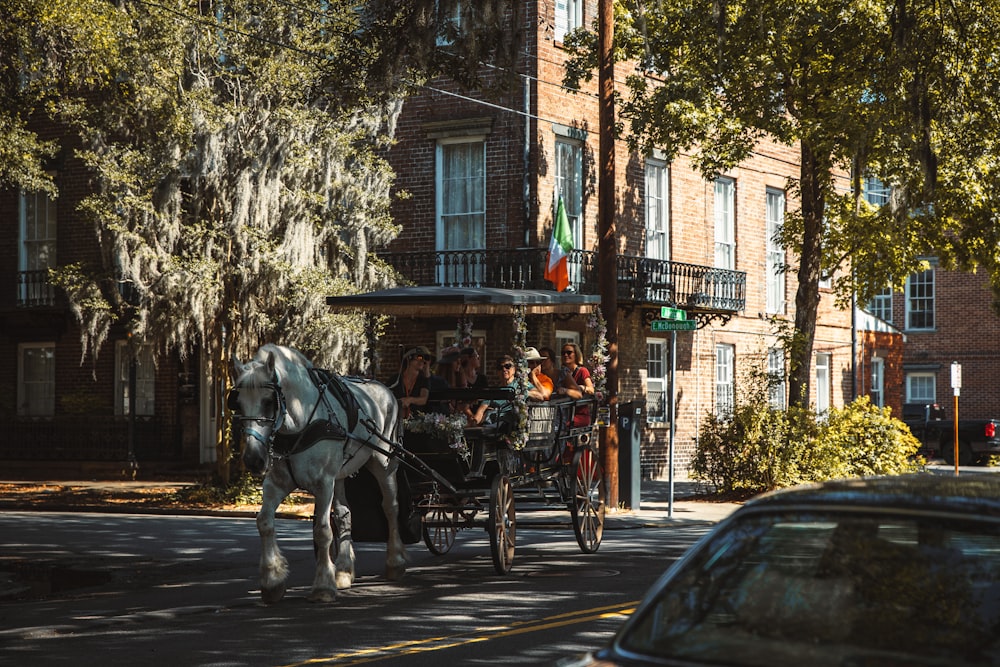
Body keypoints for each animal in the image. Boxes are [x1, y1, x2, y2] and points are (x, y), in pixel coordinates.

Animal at [230, 344, 406, 604]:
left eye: (269, 401)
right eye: (238, 403)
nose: (253, 459)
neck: (300, 423)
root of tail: (385, 388)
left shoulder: (324, 483)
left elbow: (322, 531)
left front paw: (323, 586)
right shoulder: (276, 483)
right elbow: (264, 522)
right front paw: (272, 580)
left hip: (383, 463)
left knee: (390, 507)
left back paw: (395, 562)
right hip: (341, 474)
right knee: (344, 515)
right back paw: (343, 571)